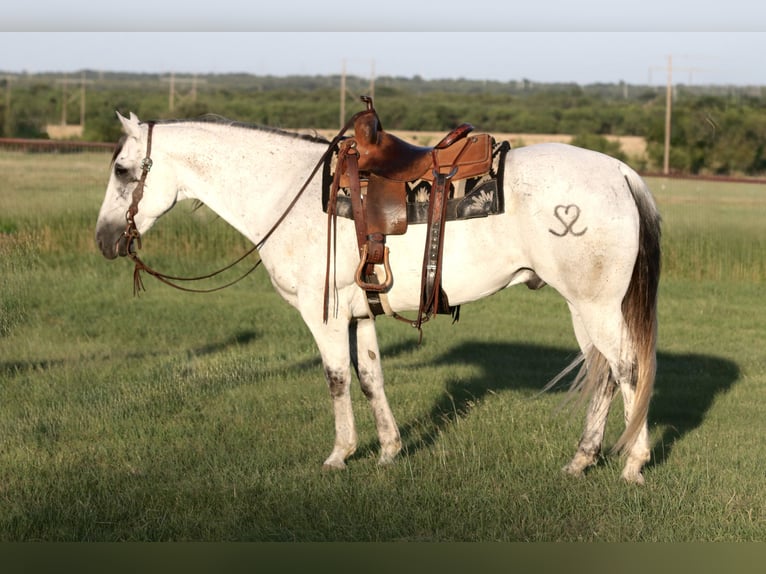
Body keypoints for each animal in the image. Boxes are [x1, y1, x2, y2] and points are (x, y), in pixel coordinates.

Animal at [95, 111, 661, 484]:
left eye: (122, 170)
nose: (104, 240)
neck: (292, 195)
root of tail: (620, 172)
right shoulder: (358, 312)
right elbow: (370, 377)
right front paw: (388, 451)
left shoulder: (322, 314)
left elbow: (337, 379)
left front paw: (340, 455)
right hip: (582, 308)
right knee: (603, 374)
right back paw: (581, 460)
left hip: (596, 306)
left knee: (628, 370)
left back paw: (633, 464)